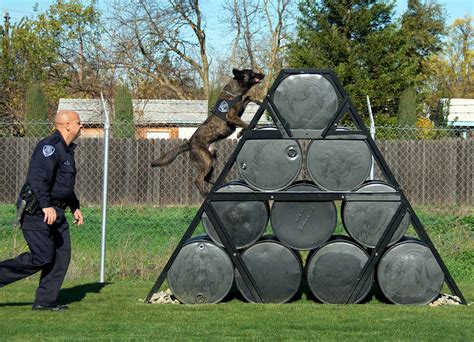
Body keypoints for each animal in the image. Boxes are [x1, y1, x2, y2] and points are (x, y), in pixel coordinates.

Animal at [151, 68, 264, 196]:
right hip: (206, 161)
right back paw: (205, 194)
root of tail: (189, 144)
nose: (263, 74)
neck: (234, 92)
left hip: (212, 159)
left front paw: (258, 102)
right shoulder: (231, 117)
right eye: (252, 72)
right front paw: (241, 133)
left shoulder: (239, 112)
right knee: (198, 180)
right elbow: (246, 124)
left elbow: (249, 97)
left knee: (206, 178)